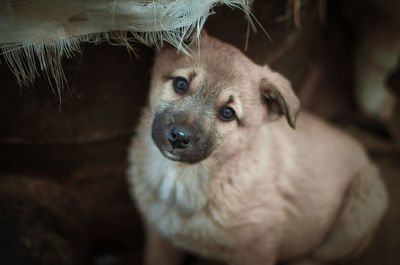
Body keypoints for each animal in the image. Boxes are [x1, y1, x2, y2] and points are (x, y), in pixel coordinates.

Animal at [127, 33, 388, 264]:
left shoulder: (257, 250)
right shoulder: (159, 239)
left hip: (363, 207)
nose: (179, 138)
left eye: (228, 113)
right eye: (180, 84)